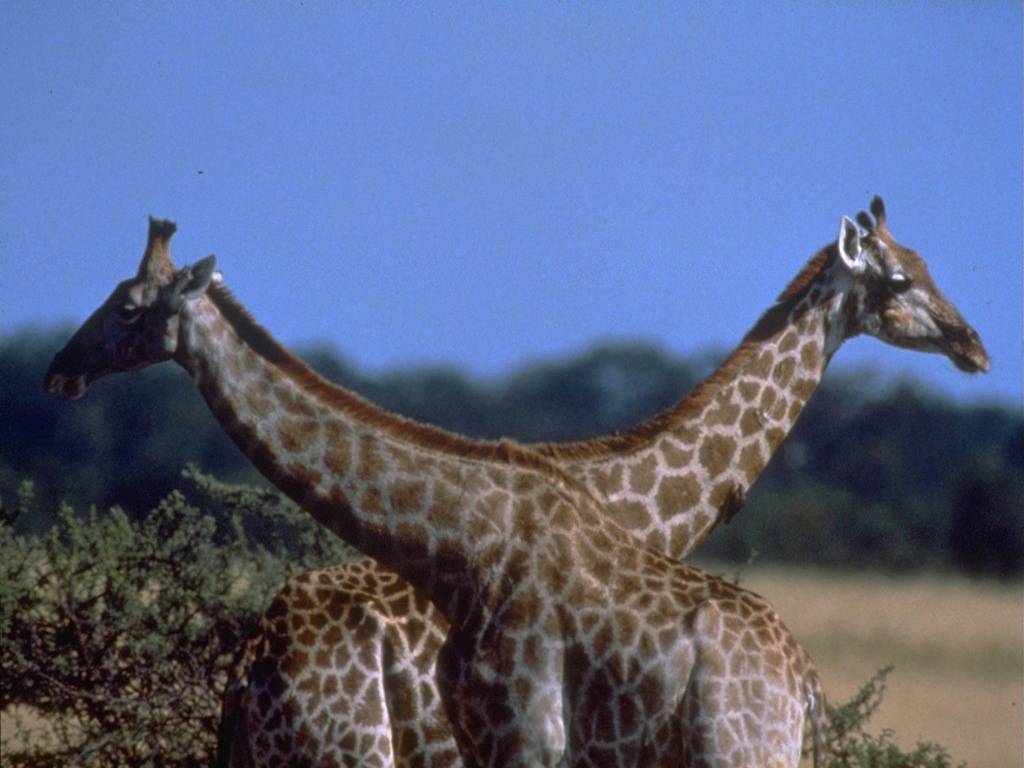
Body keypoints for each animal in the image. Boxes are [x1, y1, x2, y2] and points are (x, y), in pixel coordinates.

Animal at [213, 196, 990, 767]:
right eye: (899, 279)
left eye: (926, 262)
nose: (973, 345)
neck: (641, 500)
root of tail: (249, 666)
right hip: (349, 750)